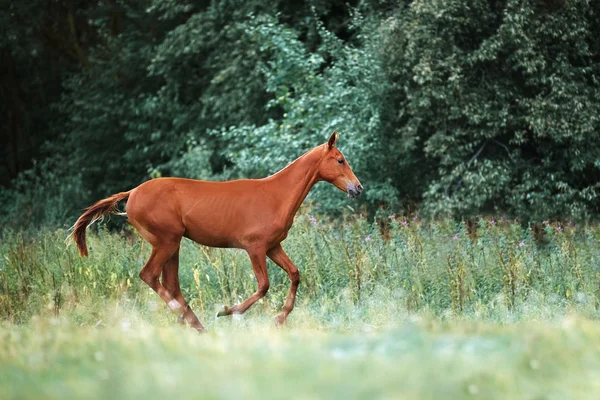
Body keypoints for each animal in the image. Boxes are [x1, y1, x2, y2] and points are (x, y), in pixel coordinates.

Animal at [70, 131, 360, 332]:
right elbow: (264, 285)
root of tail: (131, 194)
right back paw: (192, 321)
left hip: (172, 244)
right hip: (166, 241)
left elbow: (295, 274)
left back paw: (192, 324)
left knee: (170, 283)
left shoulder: (273, 246)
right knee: (149, 275)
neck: (276, 196)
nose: (358, 188)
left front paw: (279, 319)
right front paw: (228, 311)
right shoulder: (254, 247)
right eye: (340, 160)